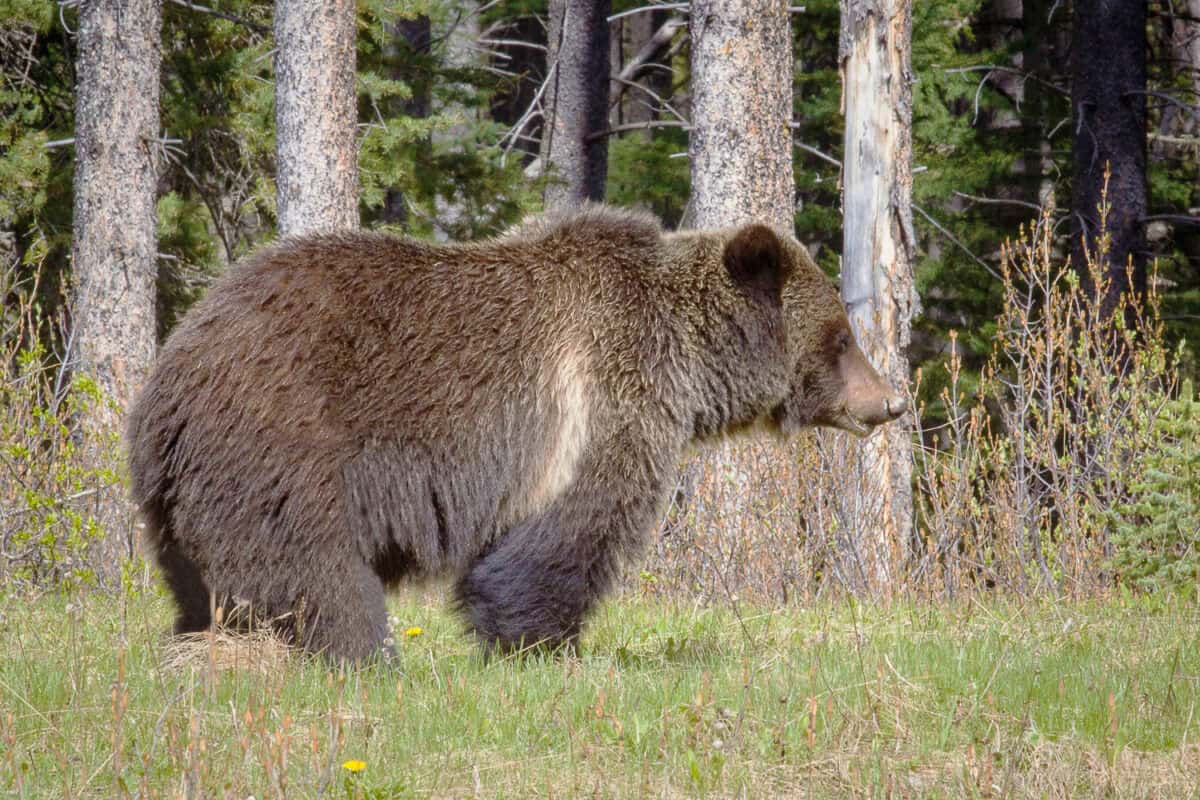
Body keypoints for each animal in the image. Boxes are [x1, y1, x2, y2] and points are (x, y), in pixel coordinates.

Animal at [126, 203, 902, 662]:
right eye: (841, 337)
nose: (888, 402)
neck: (687, 361)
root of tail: (175, 363)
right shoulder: (601, 408)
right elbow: (571, 533)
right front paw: (543, 644)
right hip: (285, 441)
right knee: (316, 570)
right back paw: (363, 654)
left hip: (180, 492)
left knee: (199, 577)